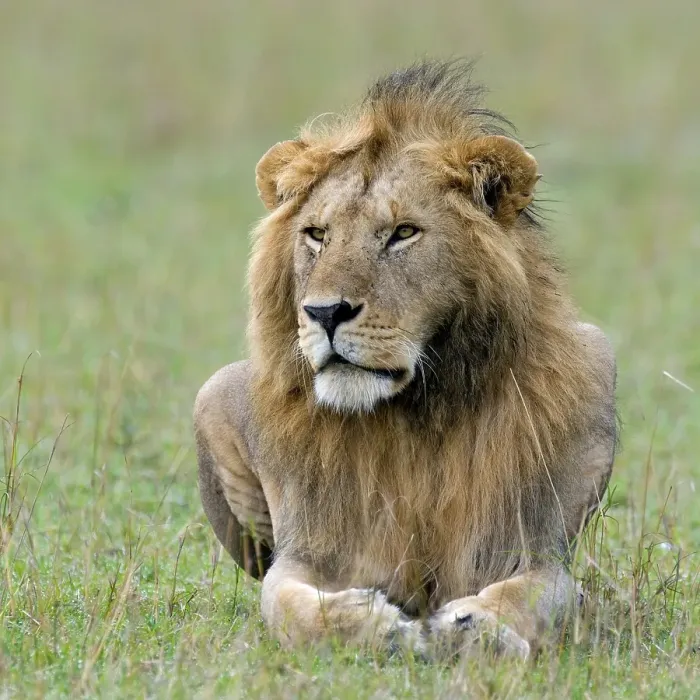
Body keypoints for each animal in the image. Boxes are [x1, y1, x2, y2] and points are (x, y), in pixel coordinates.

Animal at [193, 60, 617, 659]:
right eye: (317, 234)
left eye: (403, 233)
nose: (324, 312)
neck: (413, 413)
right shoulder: (308, 552)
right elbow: (288, 606)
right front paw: (378, 628)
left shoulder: (529, 548)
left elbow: (533, 596)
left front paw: (477, 629)